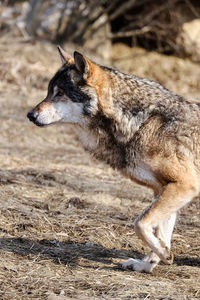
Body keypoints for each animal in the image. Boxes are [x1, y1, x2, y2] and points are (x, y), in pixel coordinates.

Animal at [27, 45, 200, 274]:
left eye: (60, 93)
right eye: (48, 92)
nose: (30, 115)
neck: (141, 122)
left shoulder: (184, 186)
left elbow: (140, 223)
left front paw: (164, 255)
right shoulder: (163, 189)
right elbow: (160, 232)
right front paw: (149, 262)